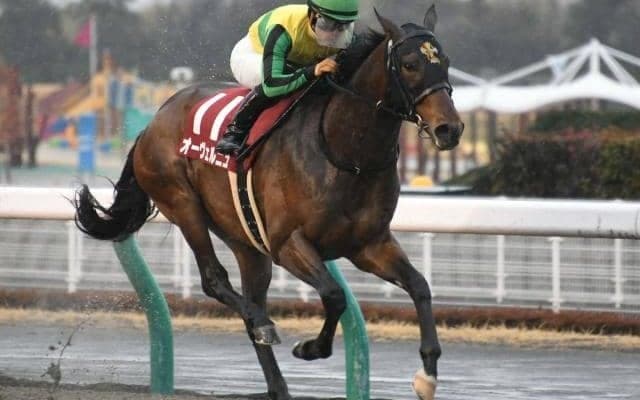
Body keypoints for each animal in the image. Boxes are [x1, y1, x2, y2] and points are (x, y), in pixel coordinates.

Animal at [74, 6, 463, 400]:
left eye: (445, 61)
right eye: (410, 64)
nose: (450, 129)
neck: (346, 153)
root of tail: (150, 125)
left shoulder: (369, 244)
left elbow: (419, 286)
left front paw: (427, 374)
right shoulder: (287, 243)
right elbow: (335, 295)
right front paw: (310, 347)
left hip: (245, 240)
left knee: (251, 298)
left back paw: (276, 381)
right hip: (182, 204)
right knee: (215, 281)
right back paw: (263, 325)